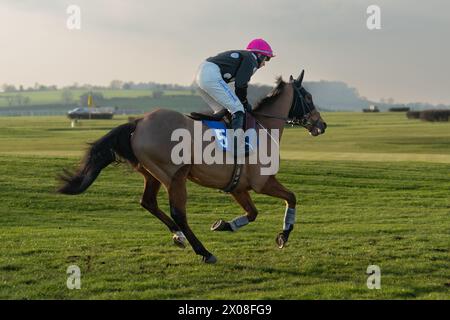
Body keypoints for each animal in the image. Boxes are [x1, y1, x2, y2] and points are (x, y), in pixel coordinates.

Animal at [59, 69, 326, 262]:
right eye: (308, 97)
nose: (321, 125)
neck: (263, 126)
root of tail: (139, 122)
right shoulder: (262, 182)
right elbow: (291, 198)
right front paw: (283, 235)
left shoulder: (238, 187)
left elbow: (253, 213)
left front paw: (224, 225)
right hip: (175, 176)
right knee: (178, 213)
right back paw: (204, 252)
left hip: (152, 174)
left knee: (148, 202)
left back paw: (178, 236)